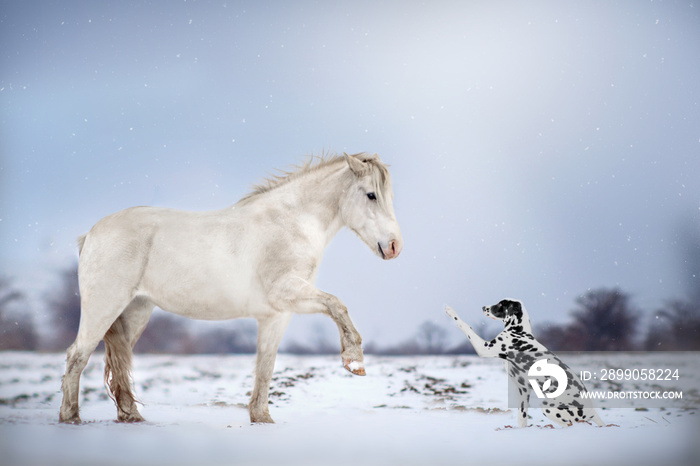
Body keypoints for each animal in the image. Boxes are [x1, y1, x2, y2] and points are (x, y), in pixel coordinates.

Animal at [58, 154, 404, 426]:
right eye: (371, 195)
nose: (394, 247)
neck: (291, 224)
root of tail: (91, 233)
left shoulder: (277, 315)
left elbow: (265, 366)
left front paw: (261, 417)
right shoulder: (288, 291)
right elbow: (337, 304)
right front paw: (354, 361)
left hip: (135, 311)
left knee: (119, 360)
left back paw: (131, 416)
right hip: (104, 307)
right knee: (77, 355)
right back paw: (70, 418)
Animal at [448, 300, 600, 428]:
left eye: (501, 304)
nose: (483, 307)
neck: (519, 332)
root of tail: (593, 412)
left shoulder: (484, 348)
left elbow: (465, 326)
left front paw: (450, 310)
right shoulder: (523, 391)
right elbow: (522, 417)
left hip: (550, 407)